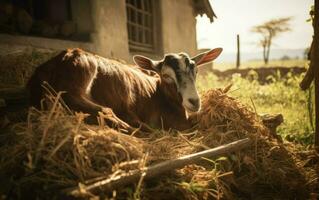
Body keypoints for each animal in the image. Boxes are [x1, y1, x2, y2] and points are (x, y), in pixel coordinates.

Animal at [26, 47, 222, 130]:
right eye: (166, 75)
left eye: (196, 70)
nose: (194, 101)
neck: (159, 94)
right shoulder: (176, 122)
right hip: (81, 72)